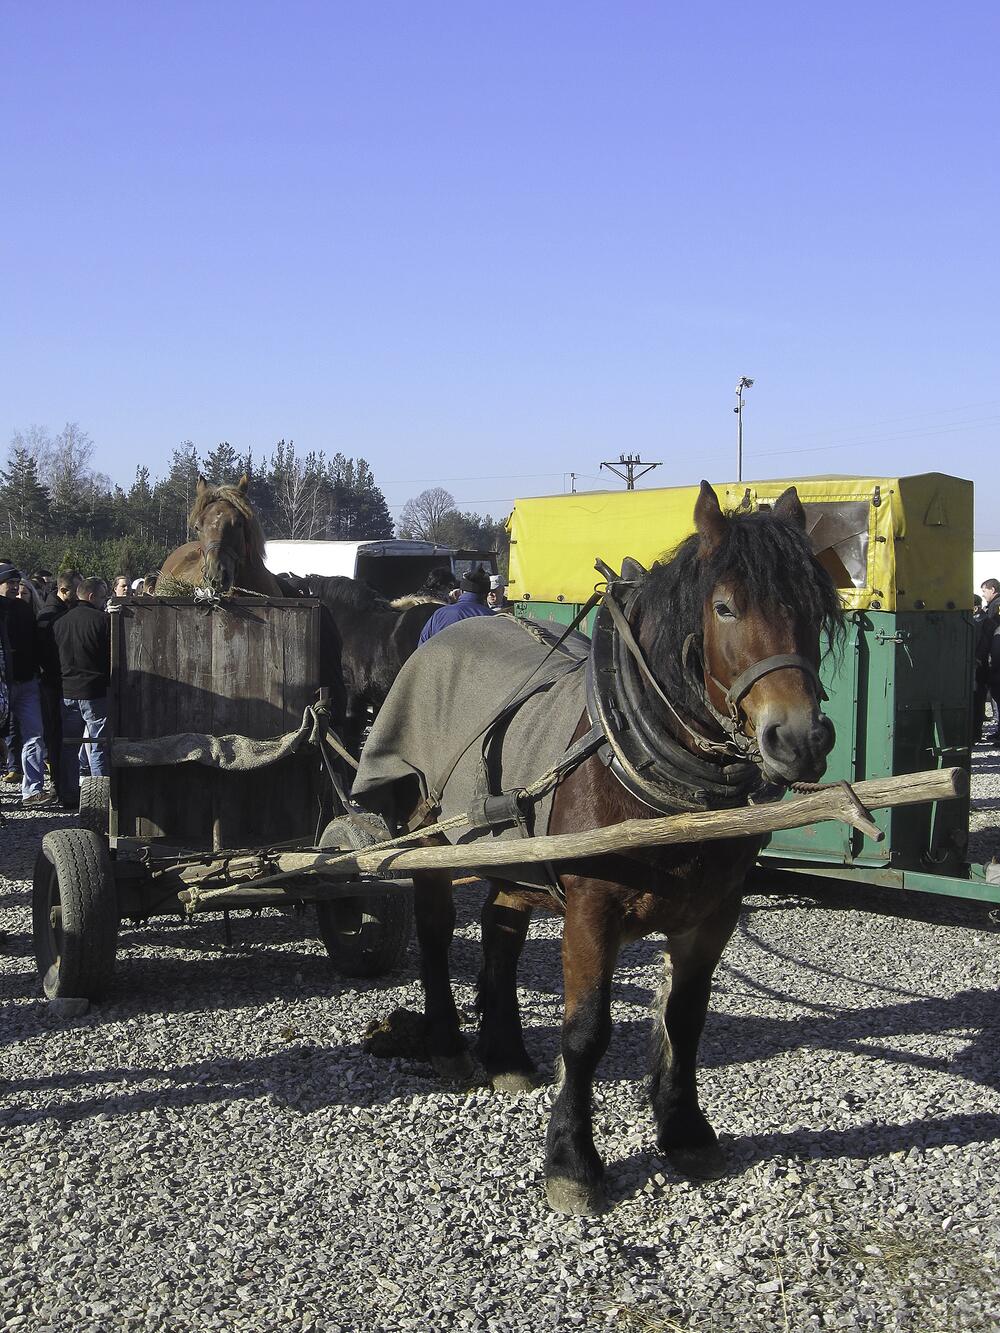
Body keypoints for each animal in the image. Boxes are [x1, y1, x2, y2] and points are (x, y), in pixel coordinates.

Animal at [376, 479, 848, 1210]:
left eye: (816, 608)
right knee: (433, 924)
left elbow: (686, 1017)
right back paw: (451, 1044)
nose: (798, 739)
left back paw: (506, 1053)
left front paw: (685, 1130)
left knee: (501, 928)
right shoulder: (591, 906)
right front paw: (572, 1159)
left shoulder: (714, 911)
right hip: (426, 827)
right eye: (724, 606)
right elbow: (586, 1031)